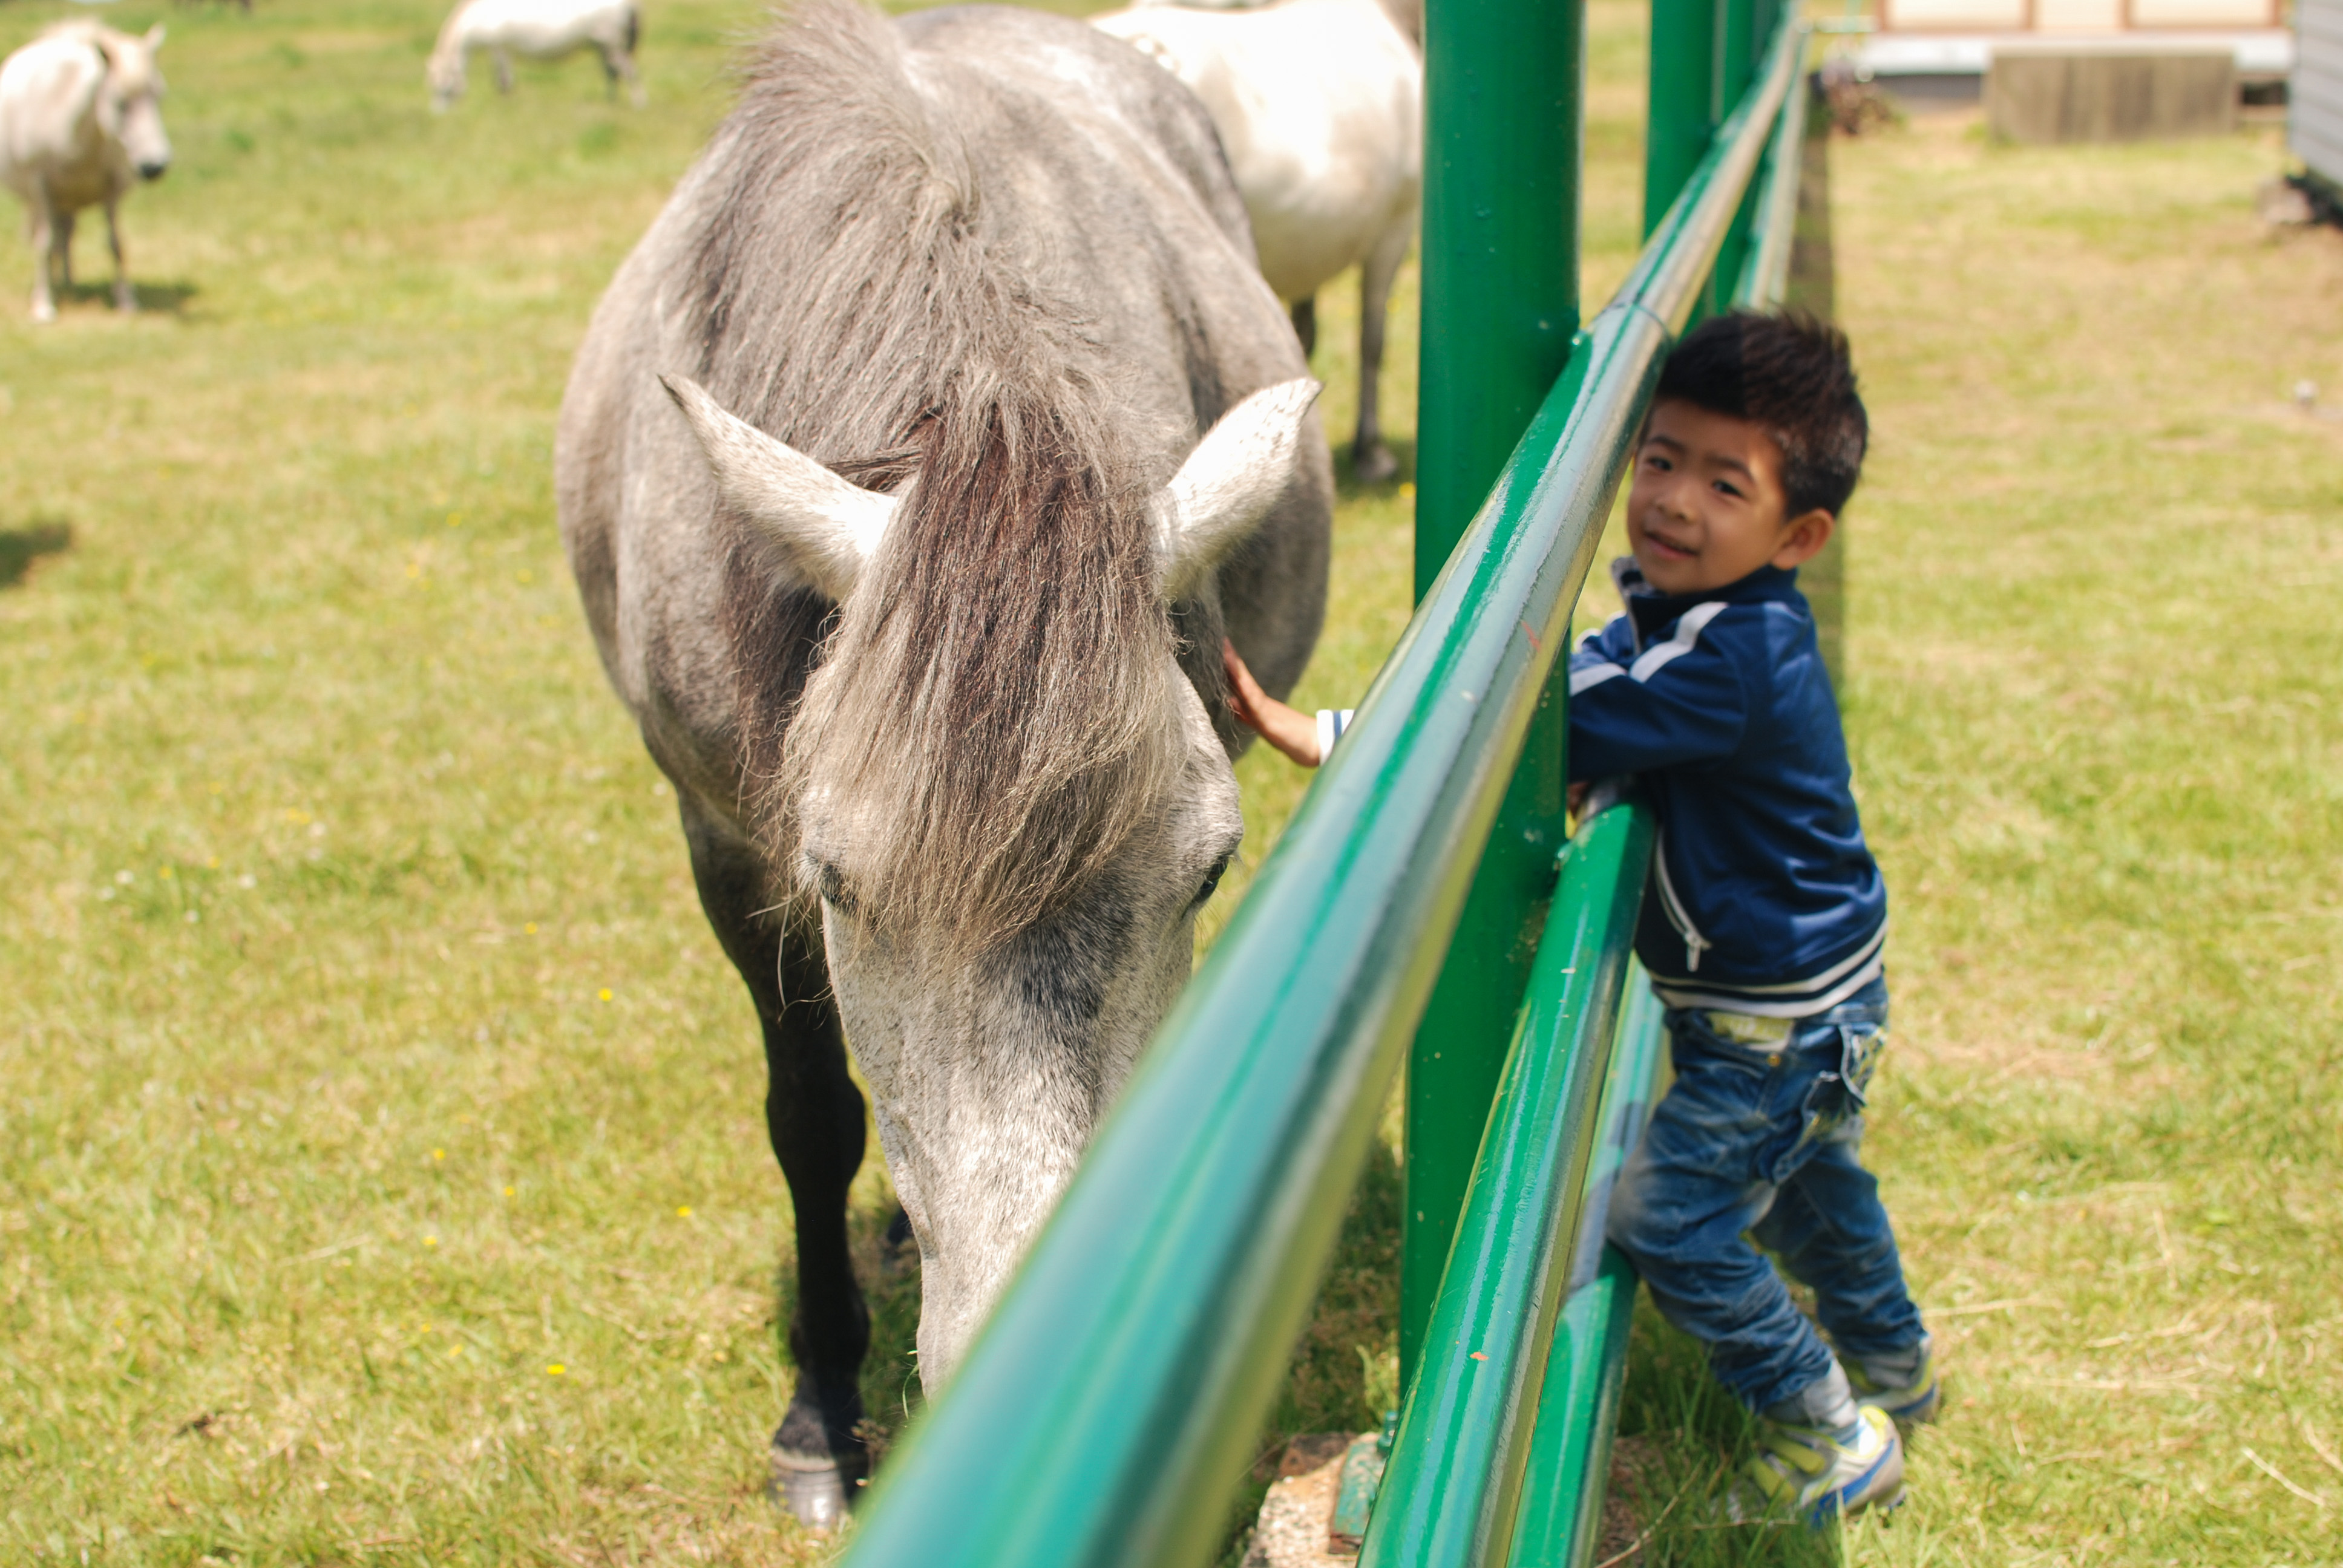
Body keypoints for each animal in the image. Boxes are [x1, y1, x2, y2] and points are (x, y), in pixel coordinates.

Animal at [0, 21, 169, 323]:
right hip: (43, 202)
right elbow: (44, 246)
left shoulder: (111, 189)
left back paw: (68, 282)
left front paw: (126, 300)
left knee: (66, 235)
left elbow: (115, 244)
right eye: (119, 102)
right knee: (53, 239)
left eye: (159, 95)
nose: (156, 166)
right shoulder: (41, 189)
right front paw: (43, 305)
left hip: (68, 202)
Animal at [428, 0, 641, 110]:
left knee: (629, 72)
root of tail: (629, 4)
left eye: (444, 89)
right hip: (604, 46)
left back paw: (638, 104)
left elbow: (504, 83)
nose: (438, 115)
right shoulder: (499, 51)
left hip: (613, 44)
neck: (480, 17)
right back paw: (610, 104)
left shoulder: (500, 49)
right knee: (612, 73)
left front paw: (504, 109)